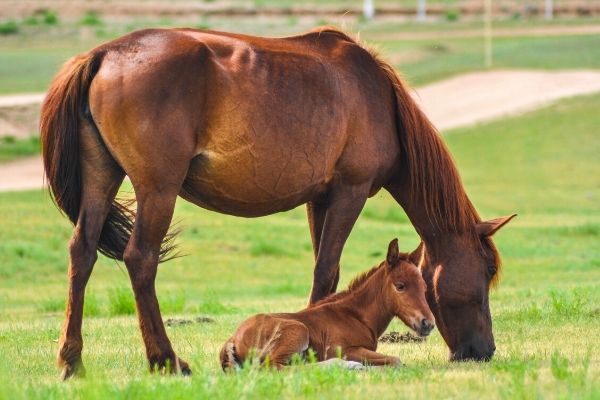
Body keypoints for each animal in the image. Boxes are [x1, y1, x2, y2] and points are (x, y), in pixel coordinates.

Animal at [223, 239, 434, 370]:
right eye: (400, 286)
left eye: (424, 287)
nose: (428, 324)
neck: (356, 316)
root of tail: (233, 338)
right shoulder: (346, 350)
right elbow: (396, 361)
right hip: (298, 331)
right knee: (274, 367)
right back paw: (345, 366)